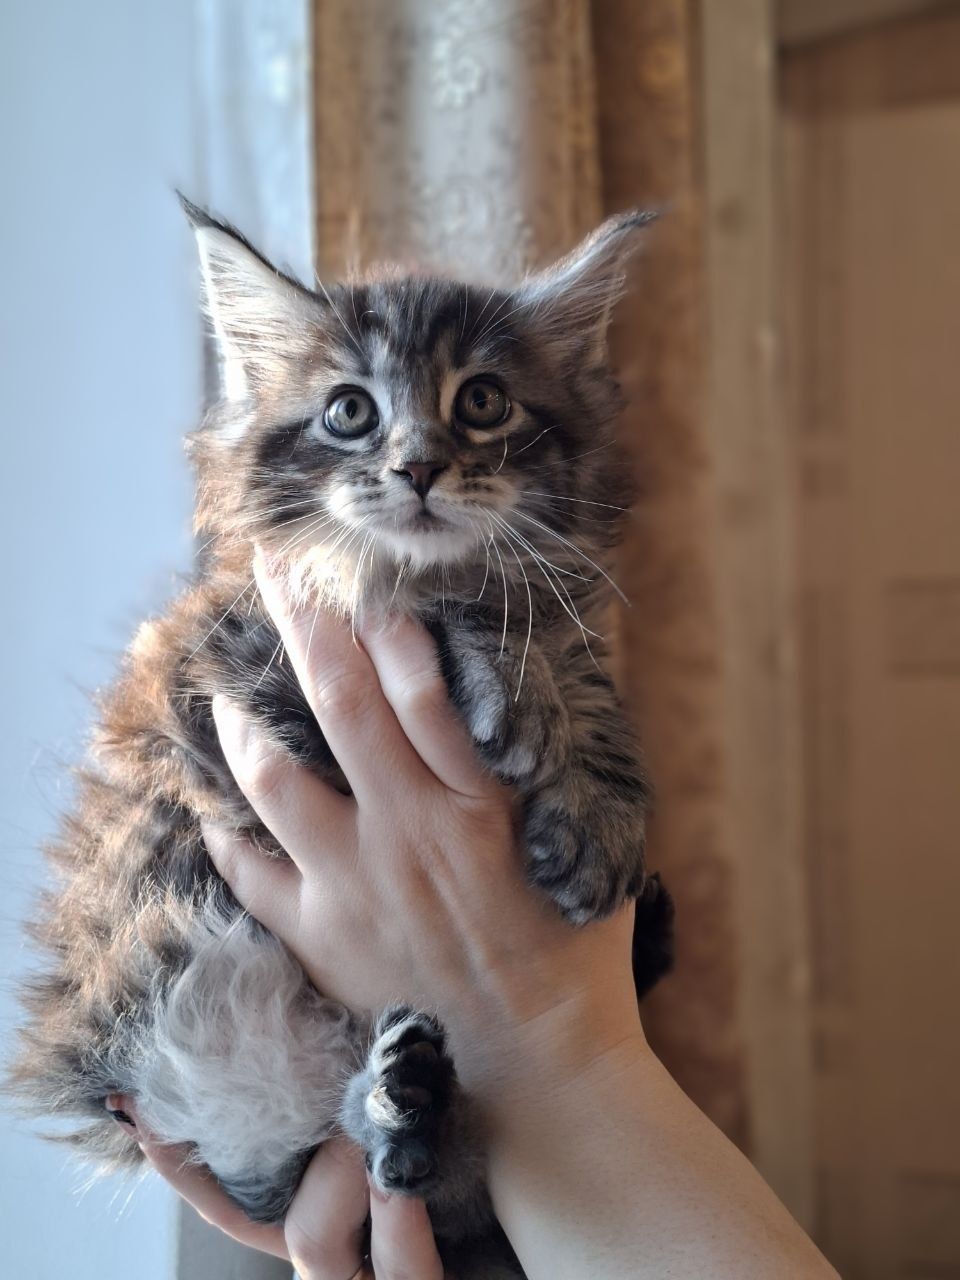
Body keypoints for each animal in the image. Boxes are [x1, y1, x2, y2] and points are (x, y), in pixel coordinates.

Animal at [8, 198, 674, 1279]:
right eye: (349, 412)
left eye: (483, 401)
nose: (418, 467)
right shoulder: (235, 680)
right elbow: (438, 607)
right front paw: (514, 686)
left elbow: (563, 647)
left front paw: (599, 810)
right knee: (335, 1164)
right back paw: (401, 1101)